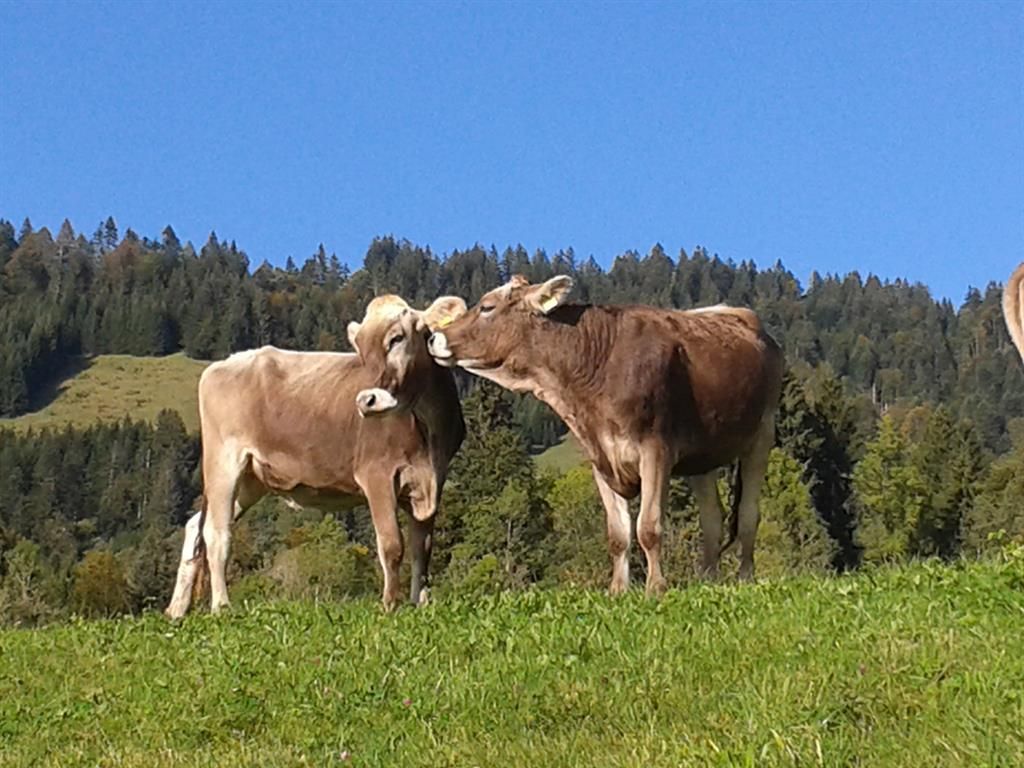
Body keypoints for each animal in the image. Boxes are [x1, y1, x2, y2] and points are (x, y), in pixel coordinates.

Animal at [165, 294, 466, 617]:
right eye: (360, 350)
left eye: (397, 338)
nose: (367, 400)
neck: (427, 426)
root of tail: (226, 362)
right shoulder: (377, 475)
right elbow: (391, 545)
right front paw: (389, 605)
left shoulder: (432, 479)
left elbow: (422, 547)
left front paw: (420, 603)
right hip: (223, 462)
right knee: (216, 533)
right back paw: (221, 605)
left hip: (251, 480)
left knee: (196, 526)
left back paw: (176, 609)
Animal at [426, 275, 784, 595]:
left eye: (487, 306)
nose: (433, 338)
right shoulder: (600, 457)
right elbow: (618, 534)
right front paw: (618, 589)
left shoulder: (656, 450)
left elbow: (648, 526)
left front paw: (656, 587)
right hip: (704, 457)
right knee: (713, 518)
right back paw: (708, 579)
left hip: (761, 436)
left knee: (748, 514)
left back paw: (745, 577)